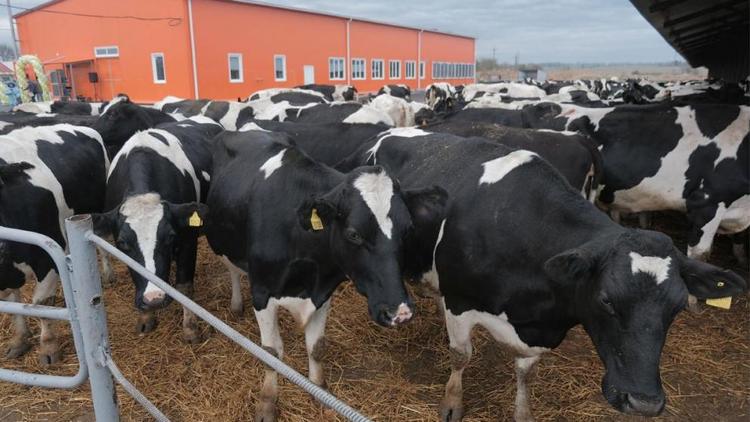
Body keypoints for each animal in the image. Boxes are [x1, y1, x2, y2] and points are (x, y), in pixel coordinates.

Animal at [0, 123, 110, 364]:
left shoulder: (47, 257)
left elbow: (42, 304)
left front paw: (48, 348)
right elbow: (13, 305)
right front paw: (19, 340)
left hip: (97, 208)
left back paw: (108, 274)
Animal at [91, 117, 220, 342]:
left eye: (170, 236)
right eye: (122, 243)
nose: (154, 298)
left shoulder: (188, 239)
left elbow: (184, 287)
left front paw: (190, 329)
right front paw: (146, 318)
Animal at [203, 130, 444, 420]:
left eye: (408, 229)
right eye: (353, 234)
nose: (400, 312)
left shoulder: (323, 292)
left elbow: (317, 347)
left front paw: (320, 392)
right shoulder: (262, 291)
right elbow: (271, 352)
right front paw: (267, 403)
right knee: (232, 269)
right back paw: (237, 304)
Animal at [340, 130, 748, 420]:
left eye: (678, 306)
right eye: (605, 299)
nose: (644, 403)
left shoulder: (539, 330)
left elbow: (526, 374)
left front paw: (523, 412)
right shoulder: (460, 301)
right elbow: (460, 356)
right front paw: (452, 403)